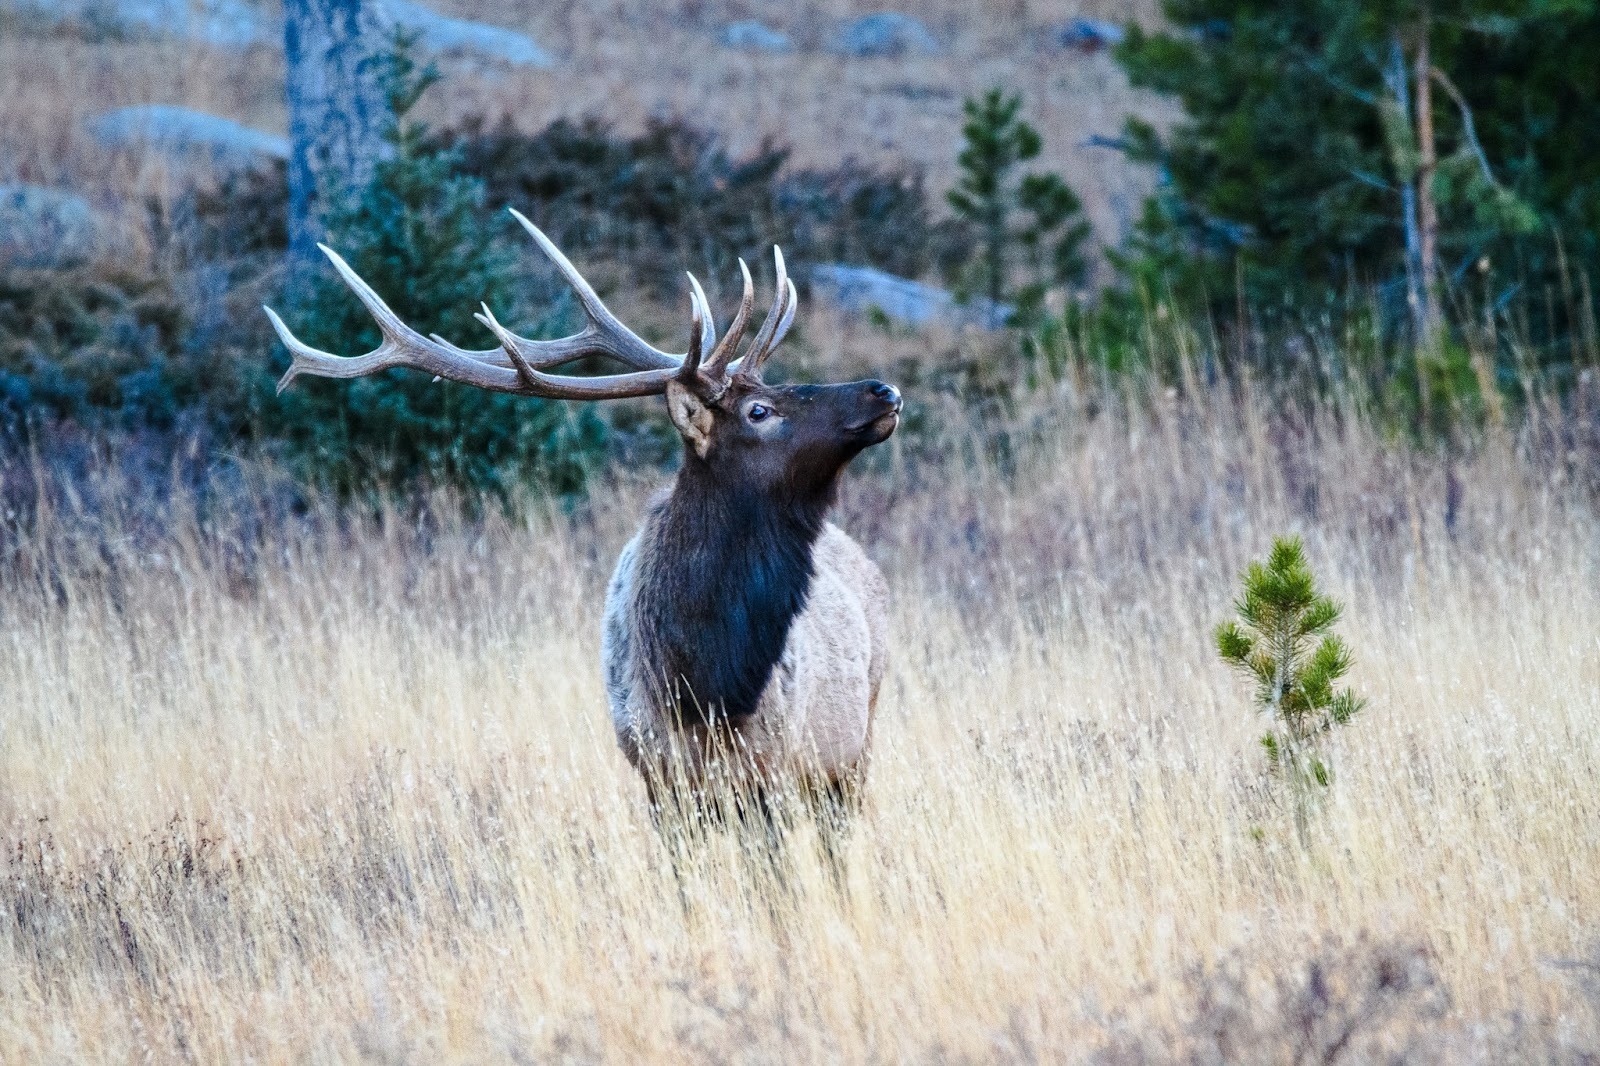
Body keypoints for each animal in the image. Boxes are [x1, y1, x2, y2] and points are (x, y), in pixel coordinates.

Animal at [265, 209, 902, 850]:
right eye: (759, 412)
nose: (884, 389)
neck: (706, 682)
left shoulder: (781, 766)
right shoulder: (661, 776)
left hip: (854, 747)